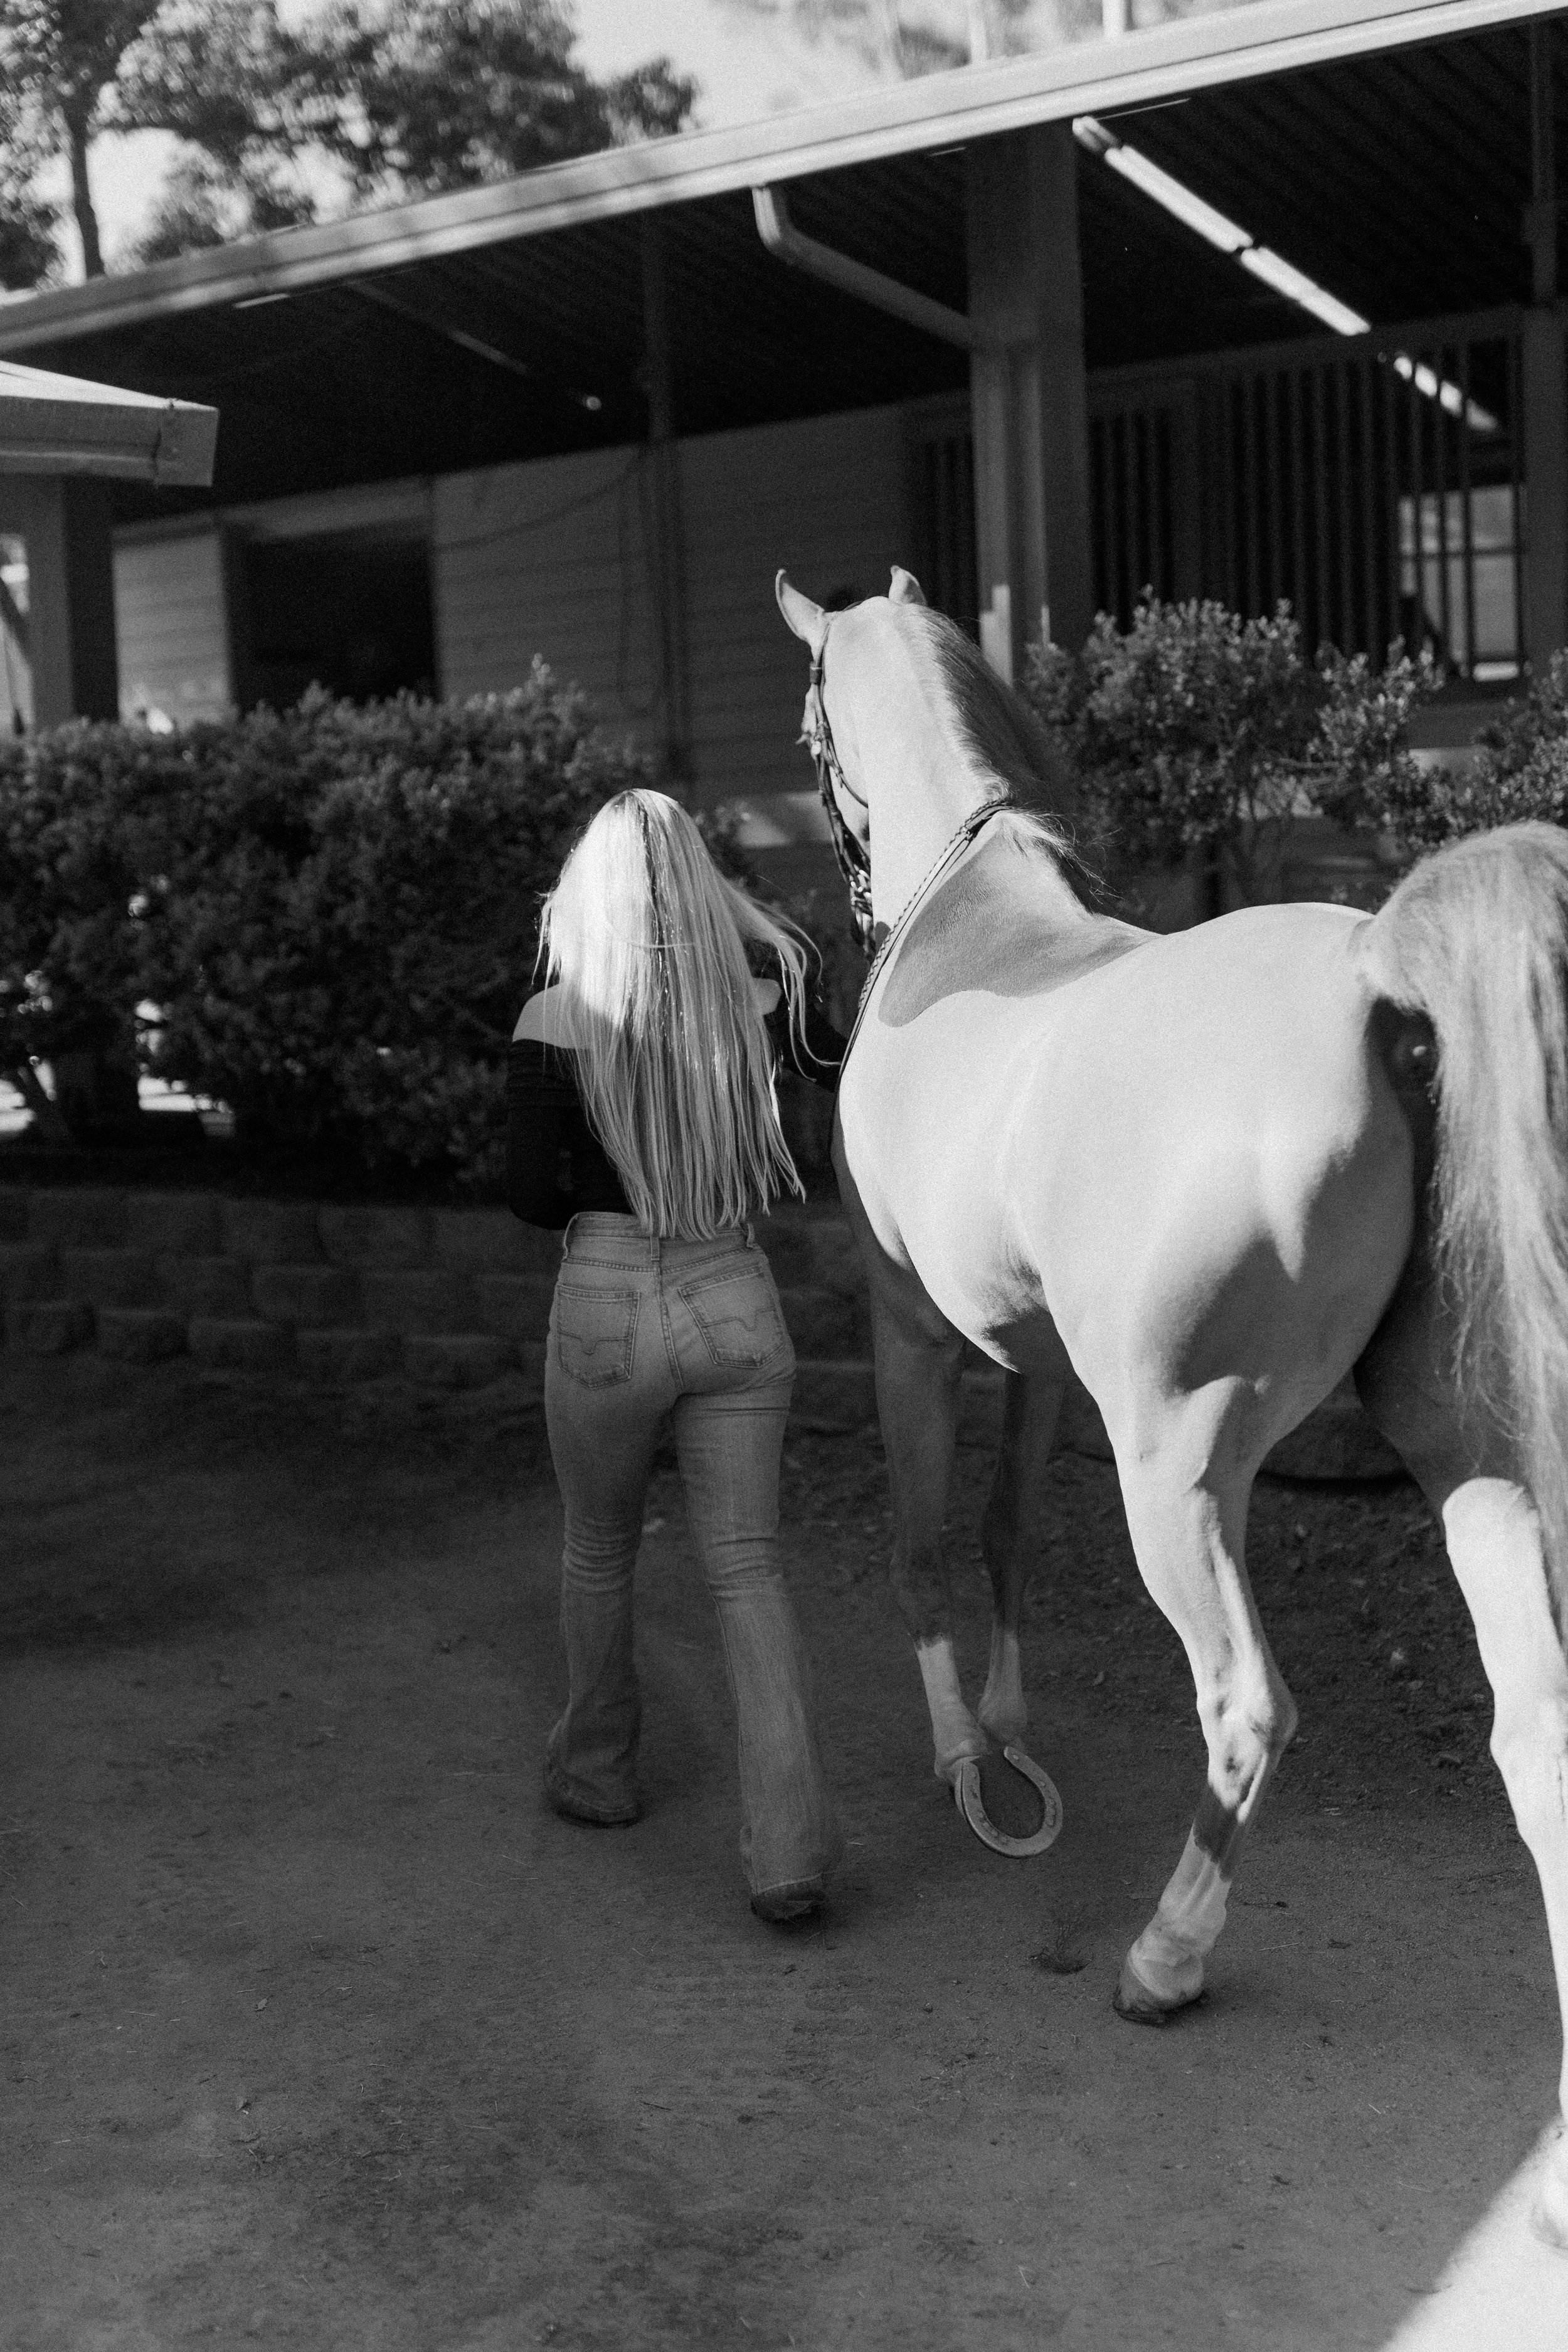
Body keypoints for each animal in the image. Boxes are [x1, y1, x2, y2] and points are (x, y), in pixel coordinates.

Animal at [776, 563, 1568, 2246]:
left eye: (811, 731)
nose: (847, 903)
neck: (976, 918)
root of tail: (1380, 982)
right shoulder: (1031, 1365)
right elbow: (1007, 1534)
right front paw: (1010, 1733)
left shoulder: (910, 1330)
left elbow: (923, 1544)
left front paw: (964, 1760)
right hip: (1466, 1459)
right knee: (1539, 1735)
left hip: (1183, 1477)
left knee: (1246, 1706)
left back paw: (1163, 1958)